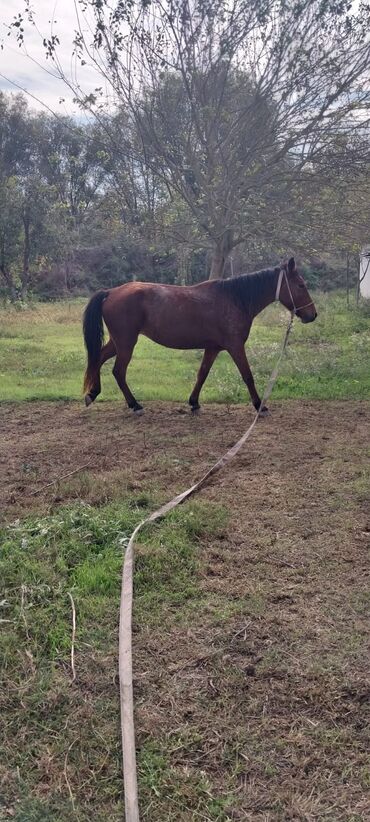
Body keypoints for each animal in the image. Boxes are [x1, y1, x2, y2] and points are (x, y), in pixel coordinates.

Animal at [82, 258, 316, 416]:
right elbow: (247, 375)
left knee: (98, 359)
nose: (312, 315)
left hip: (118, 342)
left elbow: (202, 374)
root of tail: (111, 292)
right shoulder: (235, 346)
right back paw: (135, 405)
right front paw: (260, 405)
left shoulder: (213, 348)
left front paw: (194, 402)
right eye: (301, 285)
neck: (235, 298)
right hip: (126, 343)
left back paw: (92, 394)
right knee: (118, 371)